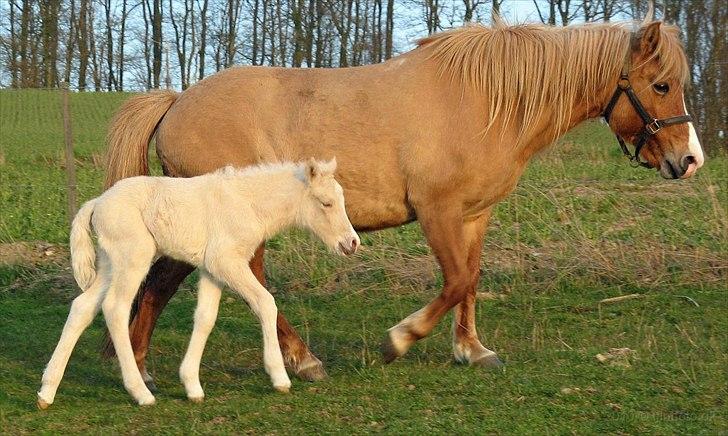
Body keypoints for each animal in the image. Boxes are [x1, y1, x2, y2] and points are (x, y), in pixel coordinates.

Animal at [37, 158, 358, 408]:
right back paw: (140, 393)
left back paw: (46, 392)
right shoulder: (226, 261)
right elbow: (265, 302)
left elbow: (205, 318)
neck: (248, 202)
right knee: (114, 308)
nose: (352, 243)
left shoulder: (211, 270)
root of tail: (97, 203)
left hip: (109, 264)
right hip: (133, 258)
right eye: (326, 203)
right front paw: (279, 377)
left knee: (82, 307)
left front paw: (192, 385)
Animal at [101, 17, 700, 386]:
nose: (690, 160)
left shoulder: (474, 216)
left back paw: (139, 364)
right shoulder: (437, 211)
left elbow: (472, 280)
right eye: (662, 85)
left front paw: (471, 350)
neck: (485, 101)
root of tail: (177, 101)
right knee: (248, 284)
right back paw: (302, 360)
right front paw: (400, 339)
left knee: (161, 282)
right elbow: (454, 281)